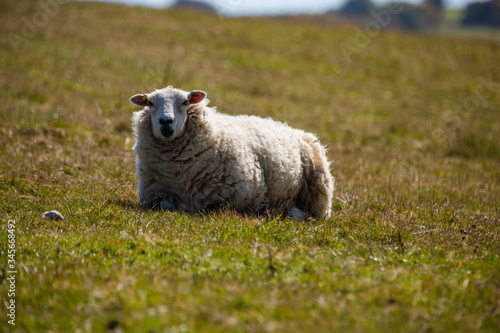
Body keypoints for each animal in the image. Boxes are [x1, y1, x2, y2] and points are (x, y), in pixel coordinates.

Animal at [129, 87, 334, 219]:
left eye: (185, 102)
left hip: (318, 189)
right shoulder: (151, 195)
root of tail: (292, 130)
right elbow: (165, 204)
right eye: (150, 103)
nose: (166, 121)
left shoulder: (231, 198)